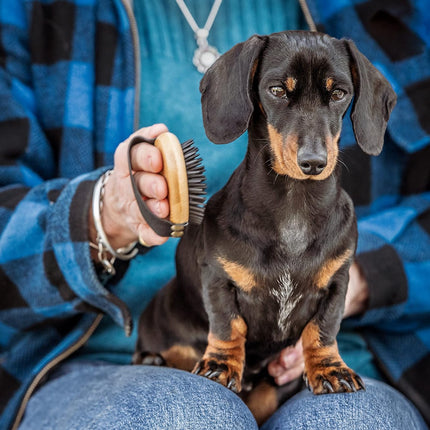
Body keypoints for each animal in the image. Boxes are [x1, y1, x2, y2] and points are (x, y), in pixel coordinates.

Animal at [134, 31, 396, 424]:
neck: (293, 206)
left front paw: (329, 369)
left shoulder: (338, 281)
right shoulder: (218, 278)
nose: (313, 162)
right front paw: (221, 364)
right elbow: (228, 324)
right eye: (276, 90)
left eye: (339, 93)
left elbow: (323, 329)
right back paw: (152, 360)